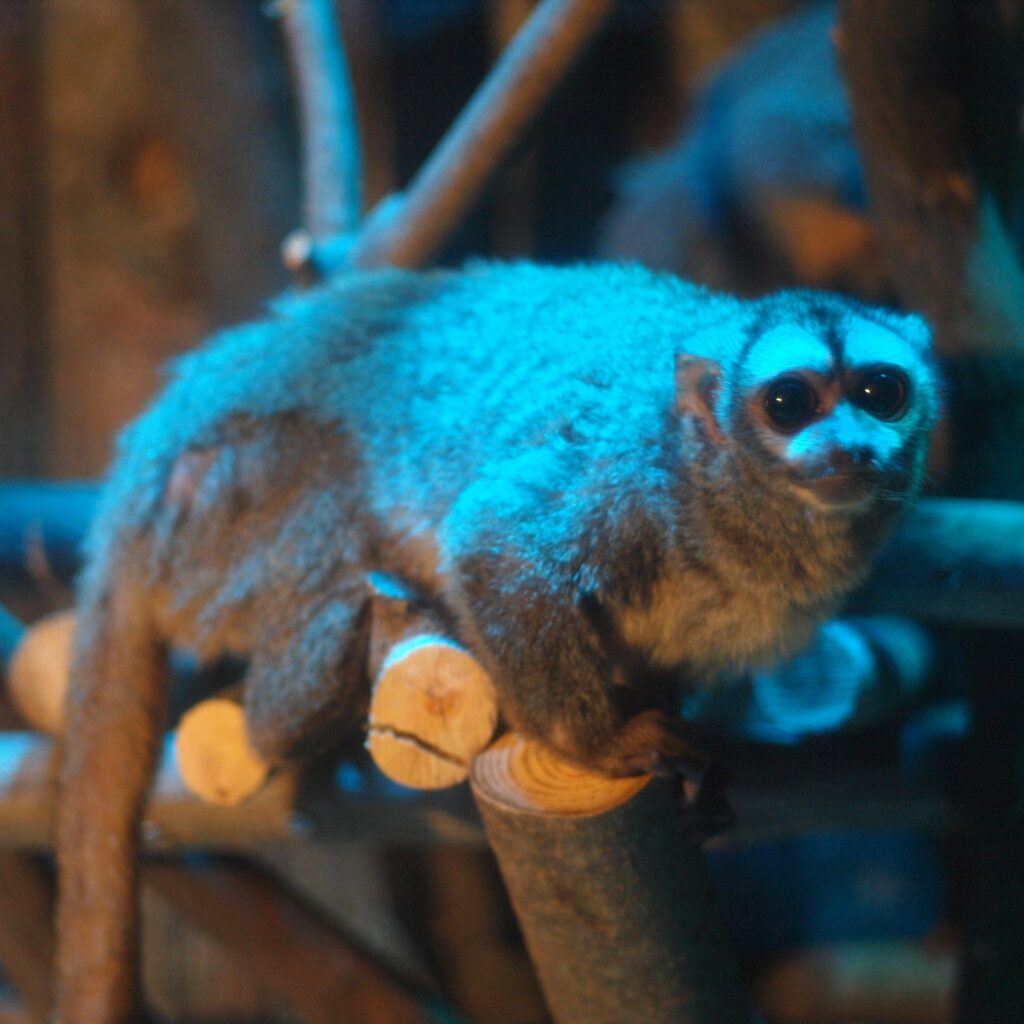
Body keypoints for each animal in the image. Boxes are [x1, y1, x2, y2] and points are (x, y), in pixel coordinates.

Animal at [54, 261, 938, 1023]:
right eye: (789, 403)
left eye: (881, 392)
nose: (852, 445)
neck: (734, 498)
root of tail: (132, 486)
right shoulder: (621, 478)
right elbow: (493, 536)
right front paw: (605, 742)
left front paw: (700, 776)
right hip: (222, 500)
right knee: (330, 560)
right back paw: (310, 690)